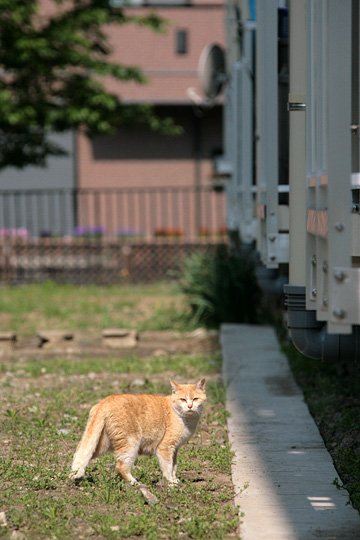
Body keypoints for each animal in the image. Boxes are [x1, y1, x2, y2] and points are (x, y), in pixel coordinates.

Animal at [70, 380, 205, 486]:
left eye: (195, 399)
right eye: (183, 399)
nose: (190, 406)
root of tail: (105, 401)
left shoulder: (175, 449)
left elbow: (174, 466)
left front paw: (175, 479)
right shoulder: (165, 448)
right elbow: (167, 467)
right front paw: (171, 482)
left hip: (101, 444)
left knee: (80, 452)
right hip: (130, 444)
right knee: (120, 466)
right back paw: (134, 482)